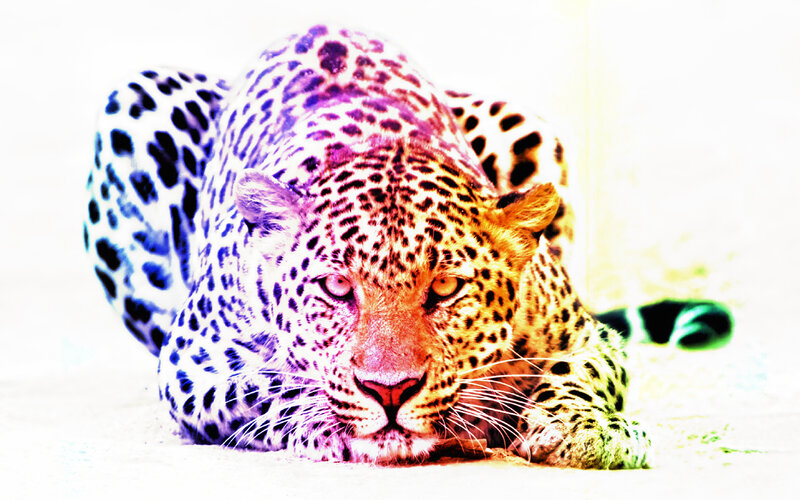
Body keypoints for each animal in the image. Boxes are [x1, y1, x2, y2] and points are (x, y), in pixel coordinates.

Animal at [83, 25, 732, 468]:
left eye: (445, 288)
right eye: (336, 288)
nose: (390, 390)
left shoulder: (585, 332)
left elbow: (582, 371)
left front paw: (585, 428)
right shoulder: (191, 361)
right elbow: (266, 385)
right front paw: (328, 422)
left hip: (524, 124)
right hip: (134, 103)